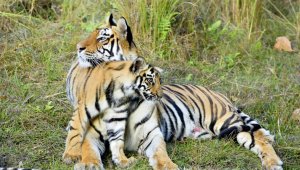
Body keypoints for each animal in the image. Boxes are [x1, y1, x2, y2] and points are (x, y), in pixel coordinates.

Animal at [64, 14, 282, 170]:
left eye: (102, 38)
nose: (78, 48)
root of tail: (219, 94)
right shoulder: (91, 133)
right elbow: (87, 149)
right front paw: (89, 163)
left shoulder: (152, 134)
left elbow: (161, 155)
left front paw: (168, 166)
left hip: (223, 121)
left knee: (257, 137)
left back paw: (273, 162)